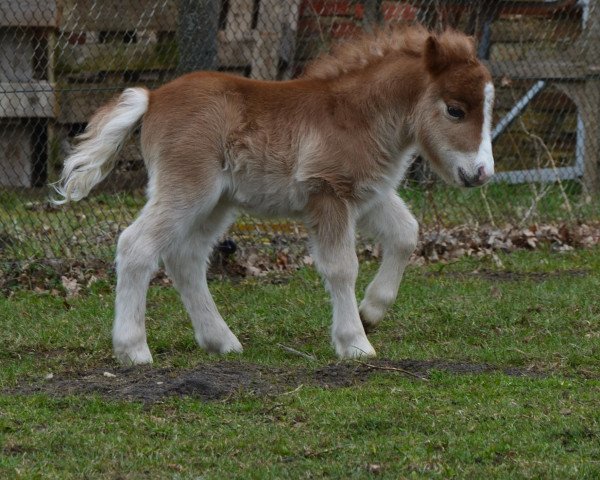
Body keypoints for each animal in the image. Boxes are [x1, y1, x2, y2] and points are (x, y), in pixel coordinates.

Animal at [56, 27, 494, 364]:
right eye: (455, 110)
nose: (482, 173)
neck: (357, 114)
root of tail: (152, 98)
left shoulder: (367, 194)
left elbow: (406, 234)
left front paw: (371, 311)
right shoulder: (328, 193)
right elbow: (342, 267)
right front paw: (355, 343)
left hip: (216, 203)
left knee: (186, 258)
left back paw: (222, 341)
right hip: (188, 189)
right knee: (137, 246)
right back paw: (134, 350)